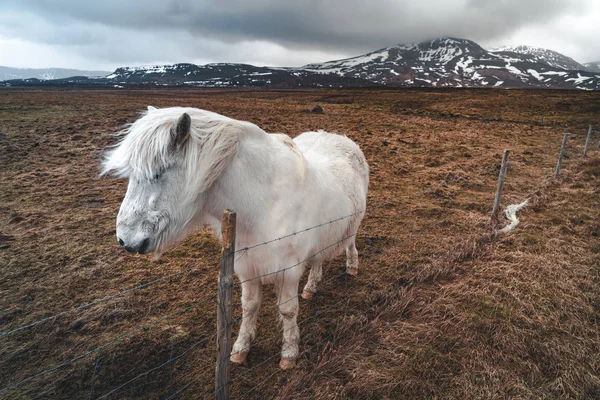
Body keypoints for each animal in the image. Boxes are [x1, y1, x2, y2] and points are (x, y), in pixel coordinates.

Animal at [101, 105, 368, 368]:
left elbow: (288, 310)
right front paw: (240, 348)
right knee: (318, 259)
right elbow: (249, 307)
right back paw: (311, 287)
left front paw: (289, 353)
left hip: (352, 225)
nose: (124, 240)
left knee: (350, 243)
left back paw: (352, 266)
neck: (263, 203)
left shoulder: (288, 271)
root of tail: (340, 138)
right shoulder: (246, 267)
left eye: (157, 173)